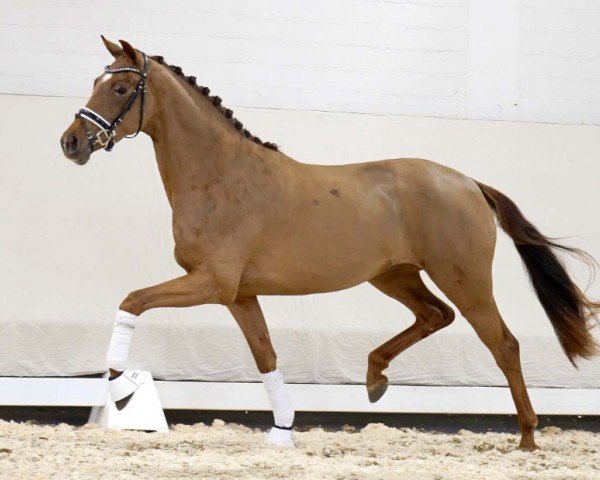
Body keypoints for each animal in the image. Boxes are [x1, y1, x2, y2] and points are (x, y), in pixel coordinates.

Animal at [58, 37, 596, 450]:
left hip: (465, 279)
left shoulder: (211, 282)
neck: (220, 177)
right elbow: (266, 357)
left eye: (121, 87)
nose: (71, 143)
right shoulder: (239, 294)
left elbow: (132, 301)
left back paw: (527, 438)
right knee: (435, 316)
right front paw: (282, 433)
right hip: (393, 276)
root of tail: (467, 182)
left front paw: (120, 386)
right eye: (96, 83)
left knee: (502, 343)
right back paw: (376, 379)